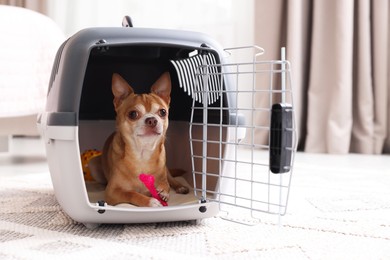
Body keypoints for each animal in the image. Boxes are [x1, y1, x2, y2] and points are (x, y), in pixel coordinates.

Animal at [101, 72, 190, 206]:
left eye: (163, 112)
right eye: (133, 114)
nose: (152, 120)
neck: (143, 154)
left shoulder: (162, 176)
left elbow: (166, 185)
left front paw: (163, 192)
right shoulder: (111, 192)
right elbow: (131, 193)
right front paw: (150, 201)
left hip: (166, 169)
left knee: (171, 179)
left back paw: (180, 186)